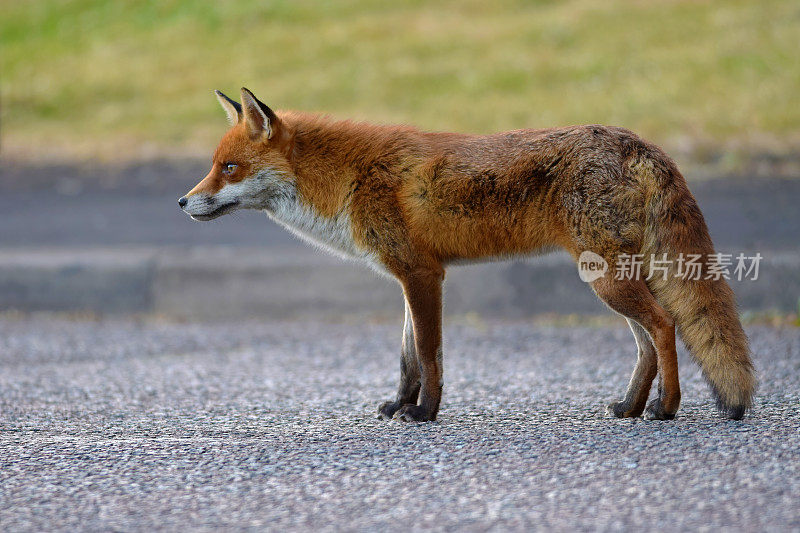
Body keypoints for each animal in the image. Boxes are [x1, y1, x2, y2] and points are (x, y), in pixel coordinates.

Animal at [180, 86, 756, 420]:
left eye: (229, 168)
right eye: (213, 166)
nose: (184, 202)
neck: (349, 180)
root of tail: (639, 142)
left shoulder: (424, 275)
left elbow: (430, 354)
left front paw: (425, 413)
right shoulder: (407, 279)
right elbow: (407, 357)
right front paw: (400, 405)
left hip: (608, 280)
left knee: (664, 325)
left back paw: (666, 408)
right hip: (613, 278)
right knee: (647, 343)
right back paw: (631, 406)